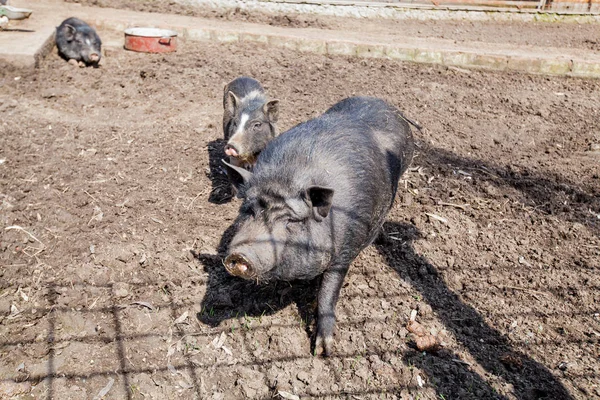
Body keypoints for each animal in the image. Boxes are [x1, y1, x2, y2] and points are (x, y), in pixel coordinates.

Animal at [223, 97, 414, 356]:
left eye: (292, 221)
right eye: (248, 210)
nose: (240, 255)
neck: (286, 178)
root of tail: (389, 107)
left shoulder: (345, 249)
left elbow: (328, 292)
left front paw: (323, 350)